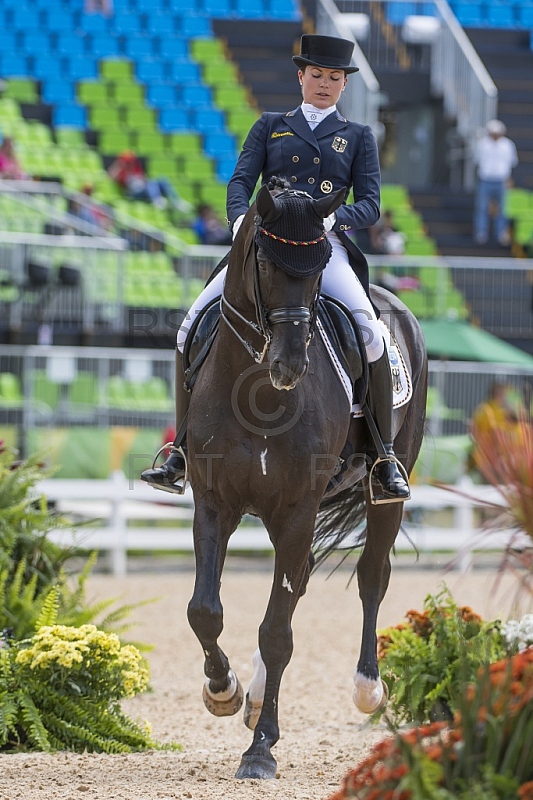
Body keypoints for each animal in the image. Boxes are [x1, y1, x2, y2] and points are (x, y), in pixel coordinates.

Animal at [185, 180, 426, 776]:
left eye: (318, 269)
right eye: (264, 262)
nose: (290, 366)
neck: (256, 394)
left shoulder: (296, 508)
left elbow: (277, 632)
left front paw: (261, 748)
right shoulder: (213, 503)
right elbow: (205, 609)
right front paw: (223, 690)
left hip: (384, 493)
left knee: (371, 575)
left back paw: (367, 688)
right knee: (304, 578)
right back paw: (250, 696)